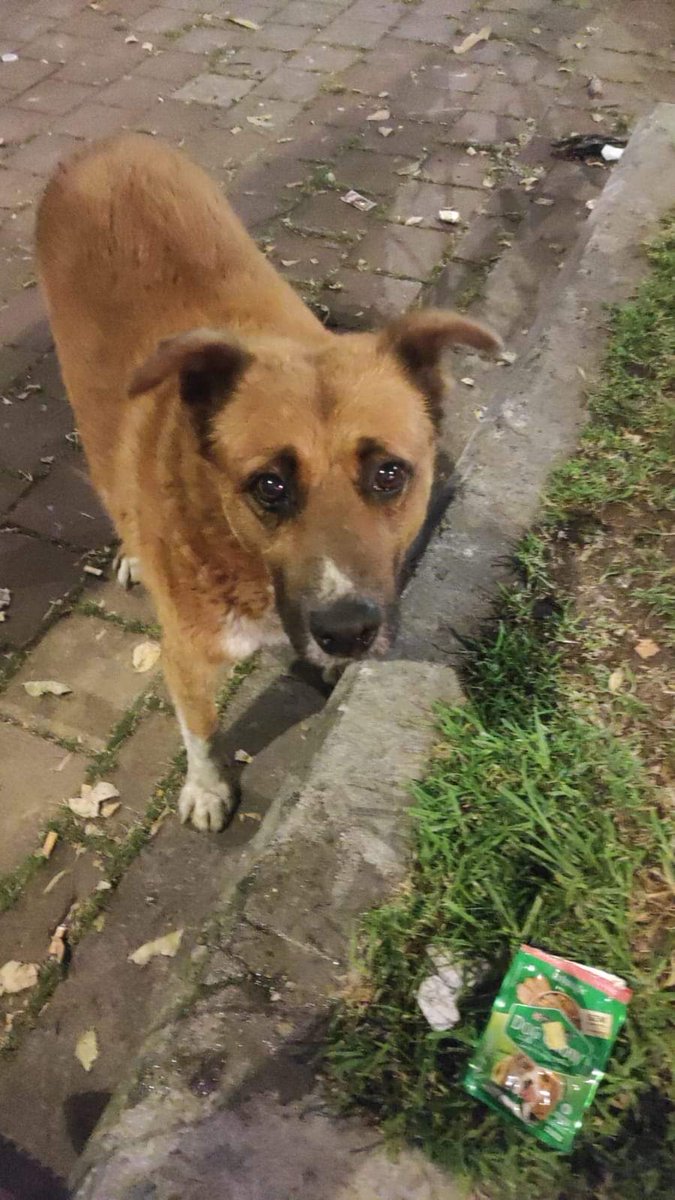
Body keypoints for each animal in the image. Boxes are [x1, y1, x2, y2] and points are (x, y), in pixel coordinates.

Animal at [36, 136, 499, 830]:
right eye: (269, 486)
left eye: (389, 474)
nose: (348, 633)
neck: (239, 556)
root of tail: (106, 146)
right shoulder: (186, 653)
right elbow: (200, 729)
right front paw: (206, 788)